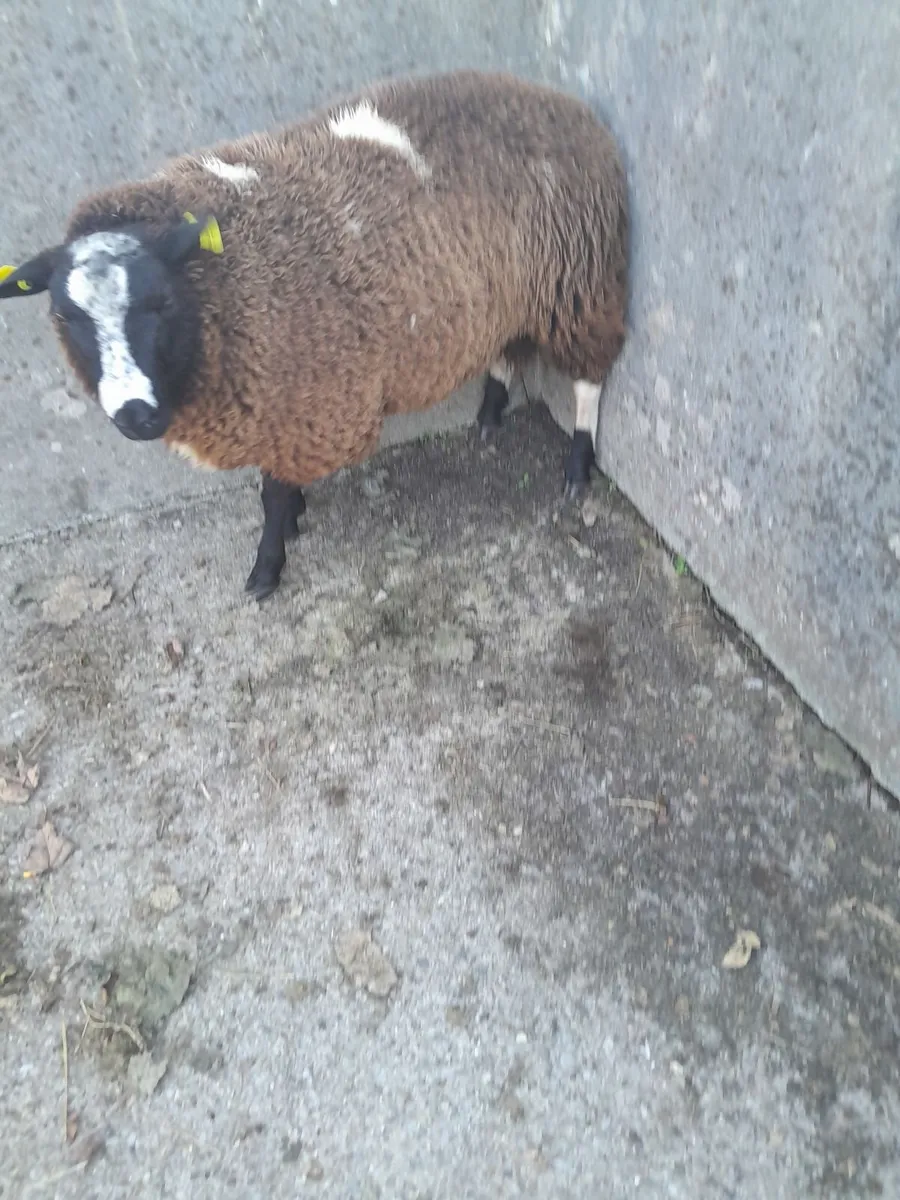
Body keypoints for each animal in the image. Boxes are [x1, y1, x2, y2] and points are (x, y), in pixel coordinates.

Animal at [0, 69, 629, 600]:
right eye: (66, 316)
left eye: (161, 302)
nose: (135, 415)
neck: (229, 285)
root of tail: (550, 94)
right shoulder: (278, 402)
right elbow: (275, 484)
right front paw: (293, 520)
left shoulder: (303, 398)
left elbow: (273, 492)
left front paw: (268, 566)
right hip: (508, 291)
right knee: (507, 348)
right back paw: (490, 415)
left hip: (582, 281)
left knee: (589, 379)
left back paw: (577, 468)